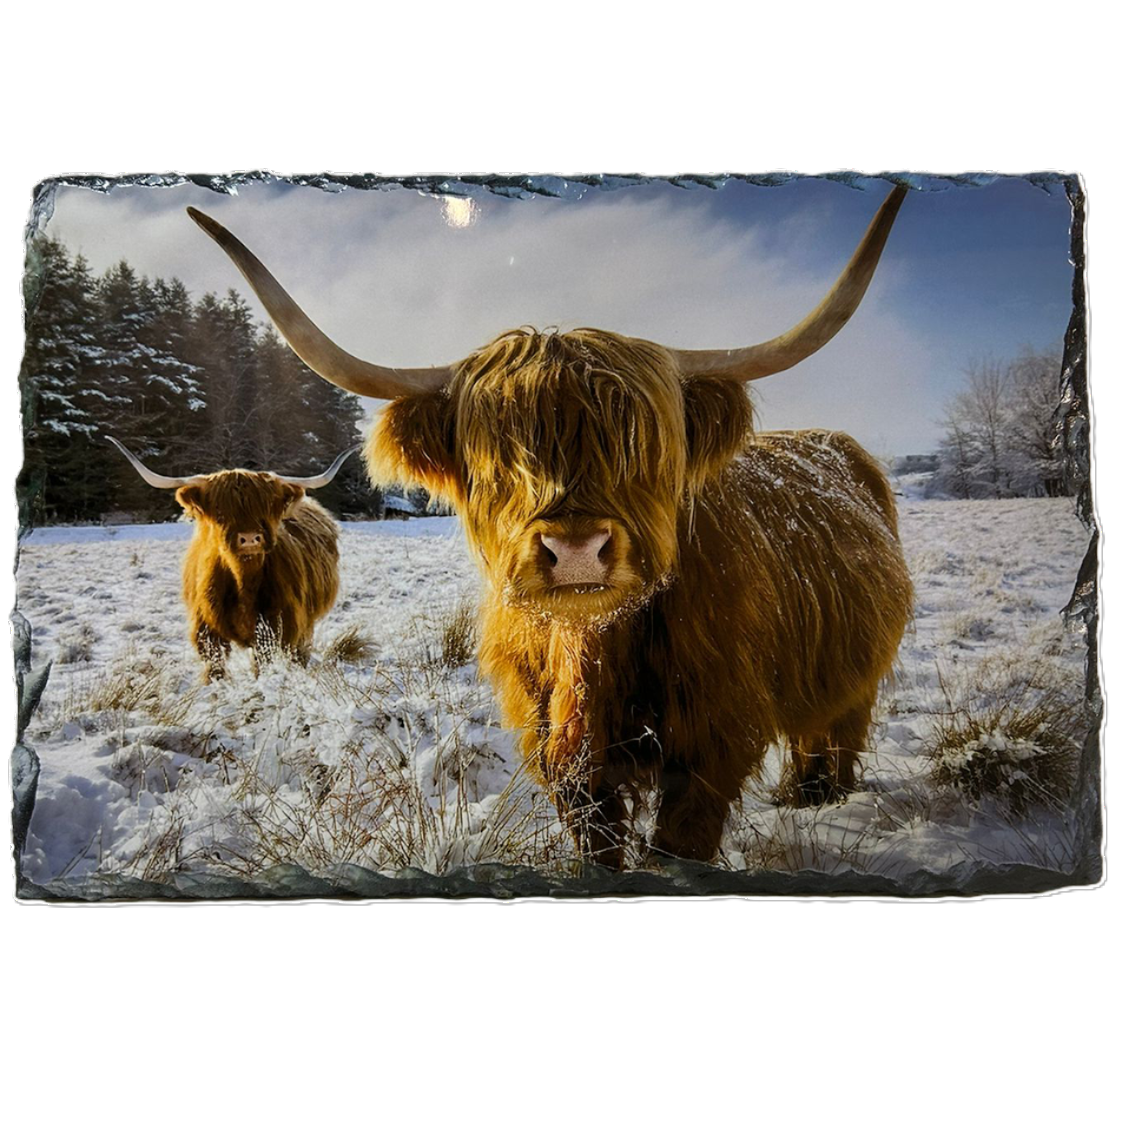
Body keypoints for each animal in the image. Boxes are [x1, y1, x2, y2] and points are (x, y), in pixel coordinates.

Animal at [108, 437, 356, 680]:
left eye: (266, 506)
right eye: (221, 510)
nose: (250, 538)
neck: (243, 582)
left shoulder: (278, 626)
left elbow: (263, 663)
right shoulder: (206, 630)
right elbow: (215, 667)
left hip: (307, 623)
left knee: (301, 651)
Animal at [186, 186, 914, 867]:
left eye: (642, 446)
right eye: (498, 458)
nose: (577, 549)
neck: (590, 654)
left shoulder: (714, 739)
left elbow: (680, 846)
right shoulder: (563, 756)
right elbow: (597, 843)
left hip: (855, 668)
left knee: (838, 721)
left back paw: (817, 794)